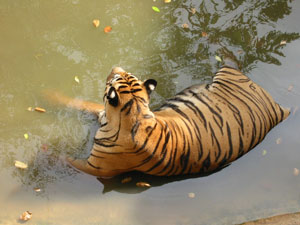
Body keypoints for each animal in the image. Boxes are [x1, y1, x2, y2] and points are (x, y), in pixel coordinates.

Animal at [47, 66, 290, 177]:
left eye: (114, 78)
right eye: (124, 75)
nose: (115, 67)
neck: (133, 112)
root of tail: (277, 107)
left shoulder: (96, 168)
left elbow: (64, 158)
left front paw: (46, 153)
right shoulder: (101, 112)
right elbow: (80, 103)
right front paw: (48, 94)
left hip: (225, 70)